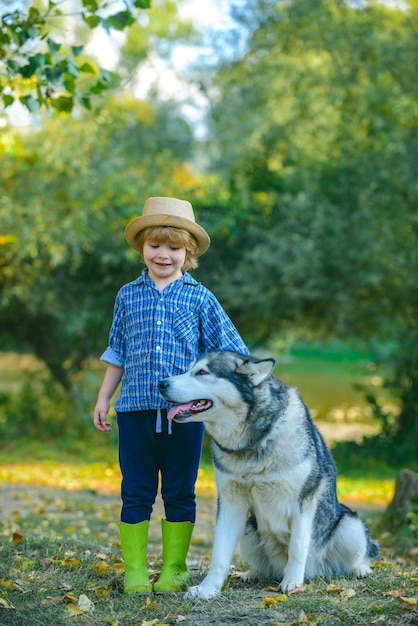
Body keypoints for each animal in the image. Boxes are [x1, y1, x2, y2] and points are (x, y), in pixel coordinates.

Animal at [158, 348, 380, 596]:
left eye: (202, 372)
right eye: (189, 369)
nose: (161, 383)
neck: (256, 440)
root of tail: (314, 572)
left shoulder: (303, 501)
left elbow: (297, 548)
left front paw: (292, 582)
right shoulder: (230, 501)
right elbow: (220, 555)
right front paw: (208, 589)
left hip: (351, 525)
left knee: (359, 555)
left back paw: (359, 569)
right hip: (248, 529)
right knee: (263, 566)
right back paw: (253, 573)